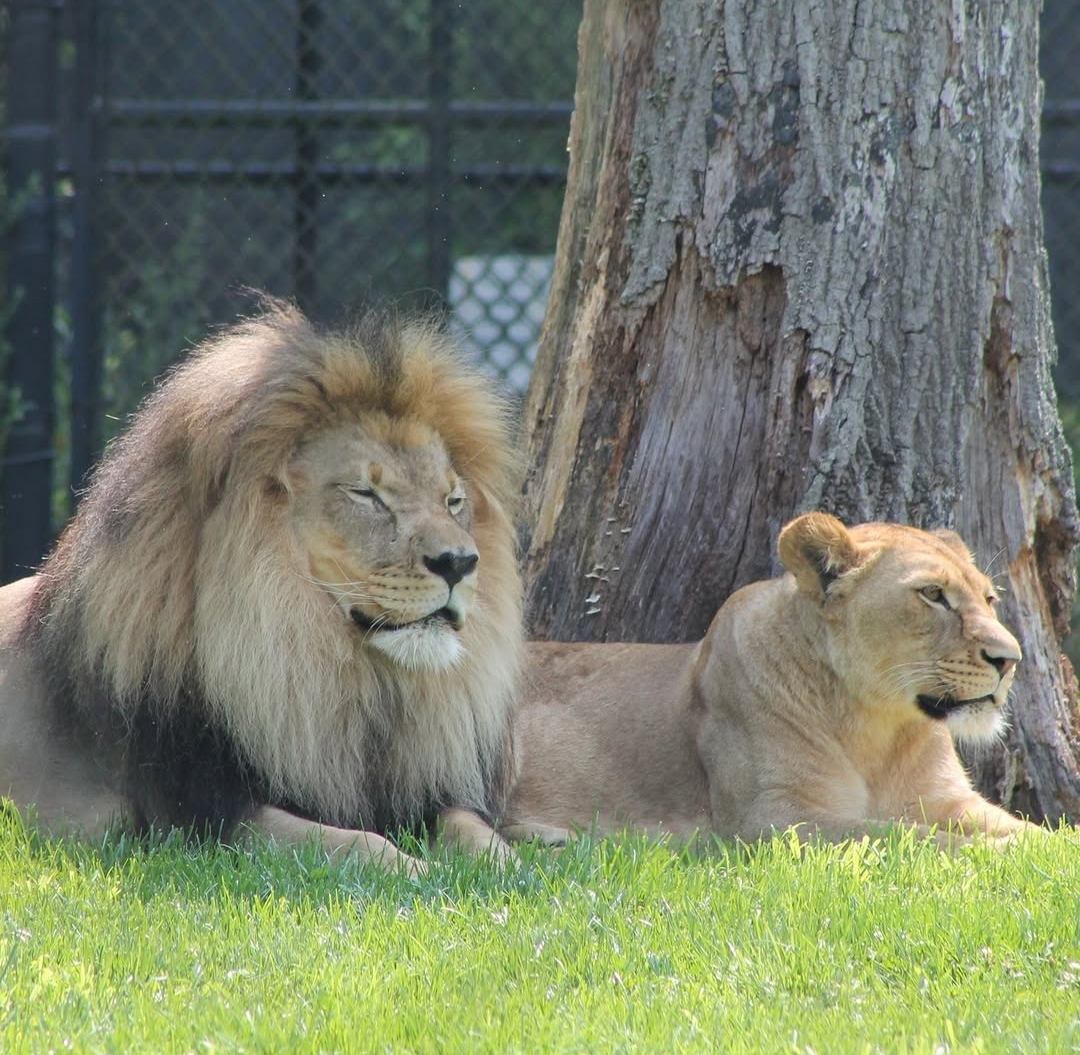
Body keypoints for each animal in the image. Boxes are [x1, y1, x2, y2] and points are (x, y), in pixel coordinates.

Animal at [0, 303, 524, 874]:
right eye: (365, 494)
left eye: (453, 500)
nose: (461, 563)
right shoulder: (195, 820)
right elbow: (353, 843)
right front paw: (420, 872)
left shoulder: (416, 794)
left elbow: (476, 831)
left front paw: (510, 874)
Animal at [502, 513, 1042, 849]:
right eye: (932, 594)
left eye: (989, 599)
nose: (1011, 659)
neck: (877, 727)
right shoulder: (769, 819)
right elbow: (904, 836)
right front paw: (998, 855)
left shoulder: (951, 800)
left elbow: (1033, 831)